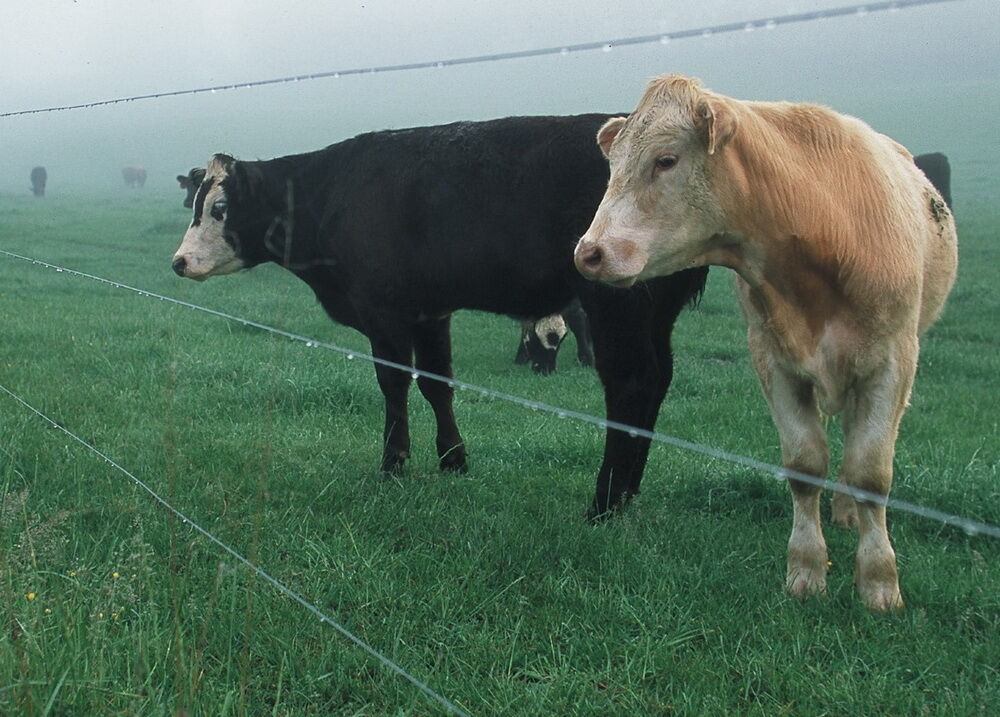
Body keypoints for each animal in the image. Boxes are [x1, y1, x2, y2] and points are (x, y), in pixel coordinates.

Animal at [170, 117, 704, 520]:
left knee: (631, 383)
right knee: (658, 379)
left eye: (220, 207)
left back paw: (605, 503)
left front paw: (394, 463)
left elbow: (395, 383)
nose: (179, 261)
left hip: (618, 304)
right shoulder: (430, 313)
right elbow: (436, 383)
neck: (332, 192)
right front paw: (453, 460)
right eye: (193, 202)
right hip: (655, 314)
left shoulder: (384, 312)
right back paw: (629, 492)